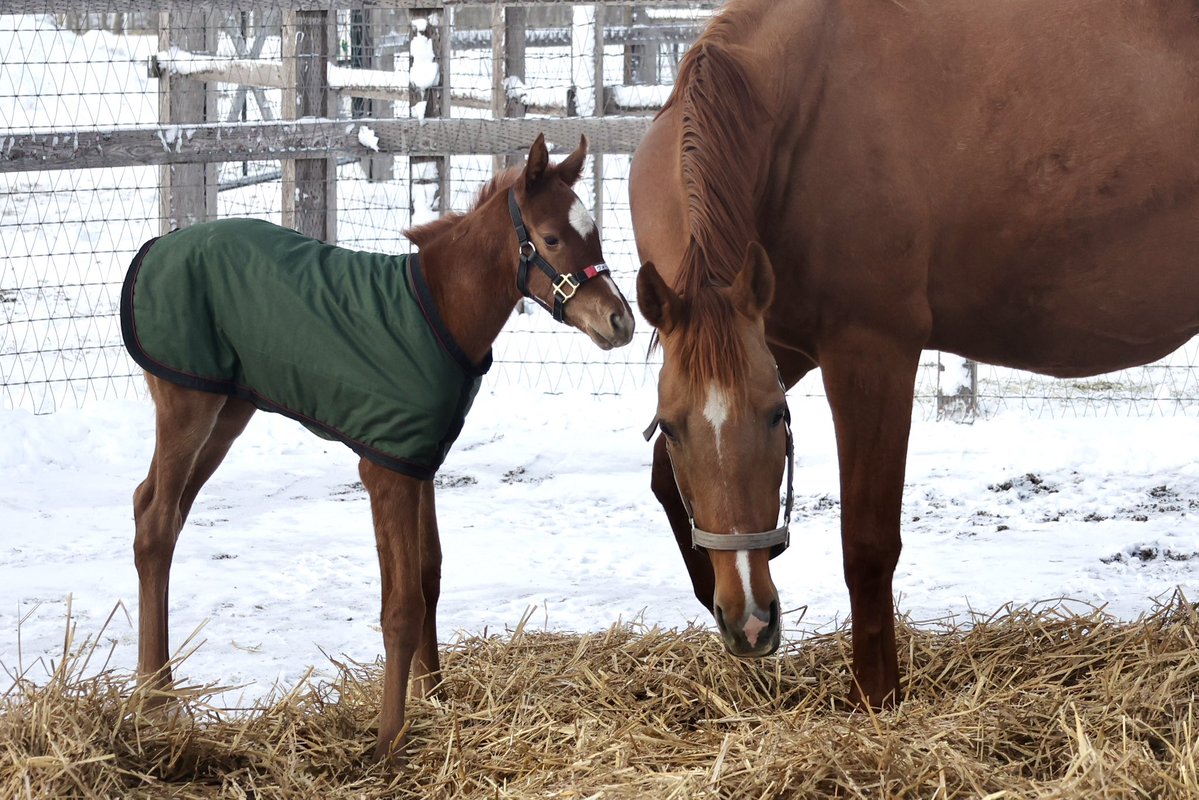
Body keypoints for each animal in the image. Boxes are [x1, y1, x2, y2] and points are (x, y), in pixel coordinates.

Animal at [121, 134, 635, 762]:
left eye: (595, 233)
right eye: (553, 237)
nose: (620, 321)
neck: (440, 312)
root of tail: (157, 246)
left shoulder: (419, 461)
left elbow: (429, 576)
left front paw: (434, 698)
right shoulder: (384, 470)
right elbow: (401, 605)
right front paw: (390, 739)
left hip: (228, 410)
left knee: (160, 510)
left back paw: (159, 688)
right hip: (187, 404)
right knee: (155, 521)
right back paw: (154, 701)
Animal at [630, 0, 1199, 711]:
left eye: (776, 419)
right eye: (674, 425)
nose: (753, 622)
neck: (791, 110)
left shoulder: (871, 355)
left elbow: (868, 544)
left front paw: (875, 698)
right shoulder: (774, 341)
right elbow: (663, 479)